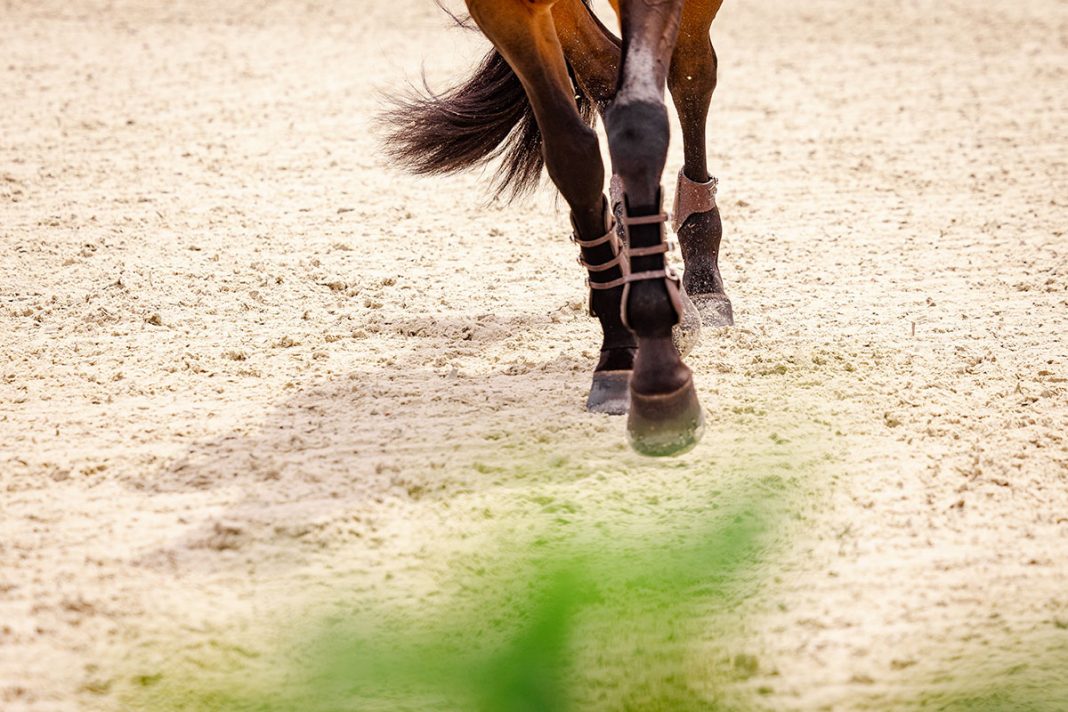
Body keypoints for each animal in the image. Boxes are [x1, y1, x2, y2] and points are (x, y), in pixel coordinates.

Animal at [383, 0, 730, 456]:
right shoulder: (506, 12)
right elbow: (573, 153)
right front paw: (621, 352)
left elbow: (639, 124)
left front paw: (661, 380)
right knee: (606, 68)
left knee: (691, 69)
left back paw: (704, 276)